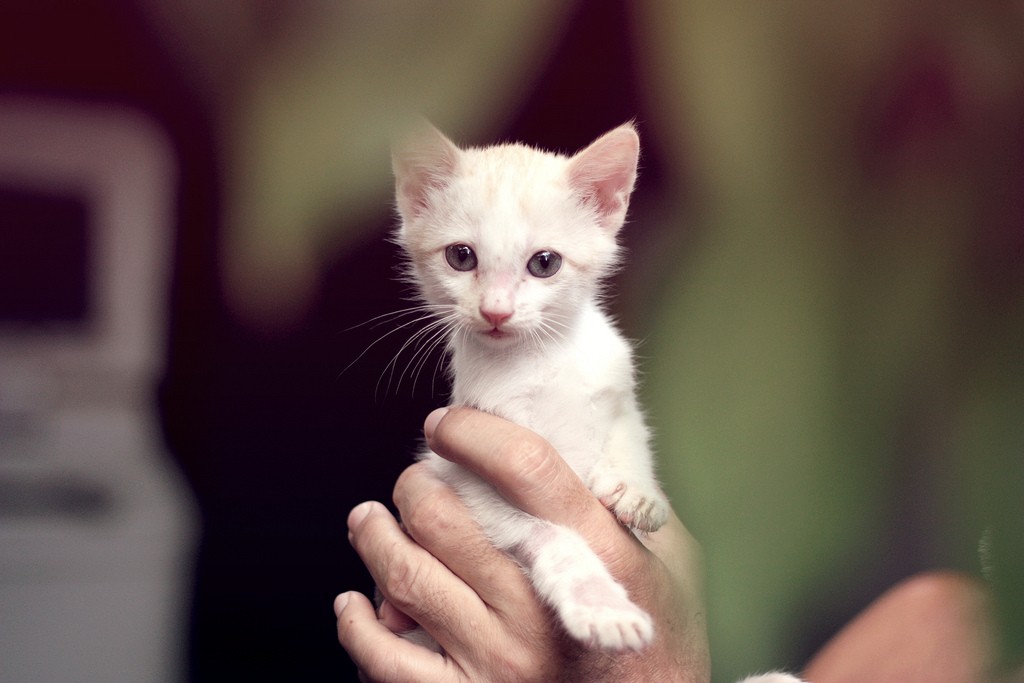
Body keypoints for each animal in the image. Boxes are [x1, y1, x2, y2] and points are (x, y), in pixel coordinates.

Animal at [391, 122, 671, 651]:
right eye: (461, 257)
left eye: (545, 263)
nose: (496, 311)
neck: (542, 360)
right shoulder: (467, 482)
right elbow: (552, 535)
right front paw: (601, 605)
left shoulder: (616, 393)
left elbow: (631, 438)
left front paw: (639, 493)